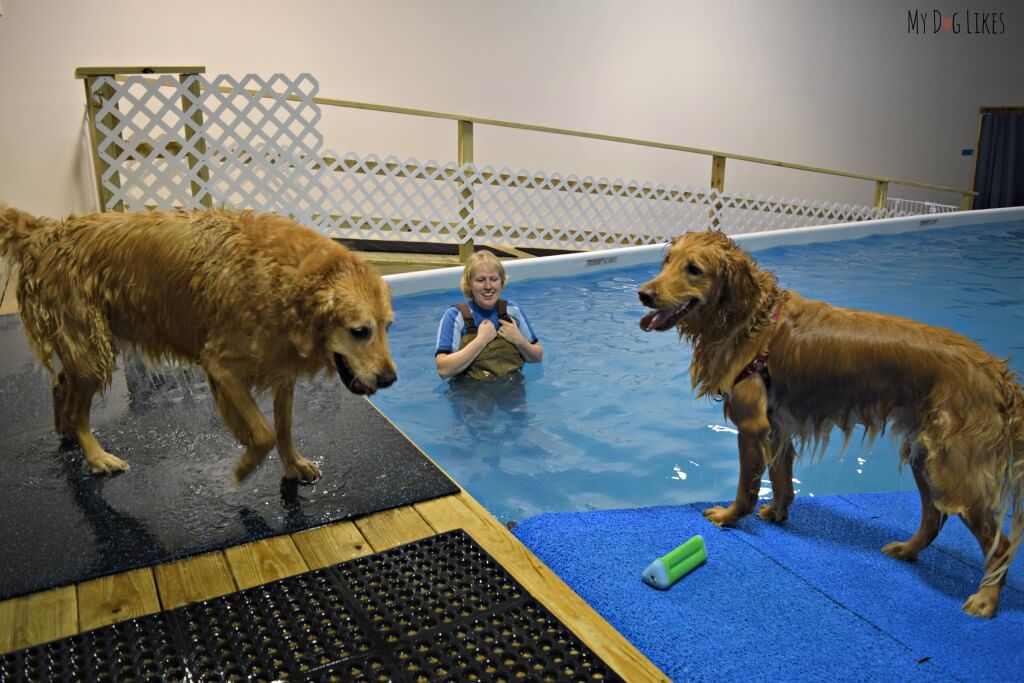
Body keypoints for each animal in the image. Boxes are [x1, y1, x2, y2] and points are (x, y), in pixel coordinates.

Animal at [0, 205, 397, 483]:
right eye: (360, 331)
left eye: (388, 326)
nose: (390, 379)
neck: (281, 280)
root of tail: (46, 231)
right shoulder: (221, 366)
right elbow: (263, 433)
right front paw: (244, 466)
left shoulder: (281, 367)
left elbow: (283, 428)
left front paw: (294, 464)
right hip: (91, 346)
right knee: (79, 406)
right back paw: (96, 456)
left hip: (83, 344)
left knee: (61, 384)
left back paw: (66, 431)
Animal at [638, 231, 1024, 618]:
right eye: (667, 260)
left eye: (694, 269)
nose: (643, 293)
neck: (752, 320)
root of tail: (996, 373)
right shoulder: (777, 426)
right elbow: (781, 478)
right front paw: (777, 512)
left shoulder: (751, 426)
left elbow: (747, 487)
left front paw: (729, 516)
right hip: (925, 456)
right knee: (934, 518)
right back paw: (907, 550)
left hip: (952, 469)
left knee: (999, 542)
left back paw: (986, 600)